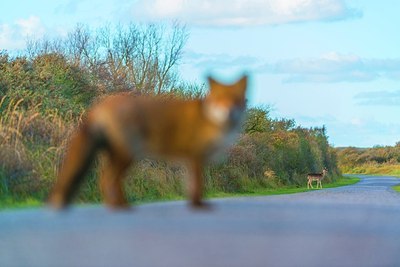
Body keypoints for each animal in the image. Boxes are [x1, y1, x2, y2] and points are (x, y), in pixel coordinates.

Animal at [48, 74, 248, 210]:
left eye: (236, 101)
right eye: (221, 101)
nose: (230, 112)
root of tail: (102, 104)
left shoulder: (191, 160)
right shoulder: (195, 157)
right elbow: (197, 186)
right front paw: (198, 206)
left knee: (104, 180)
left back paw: (116, 206)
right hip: (127, 156)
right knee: (107, 179)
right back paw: (122, 207)